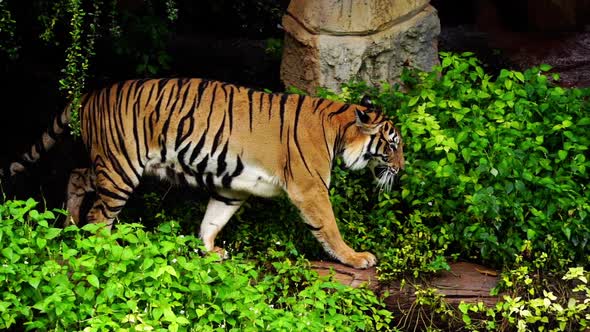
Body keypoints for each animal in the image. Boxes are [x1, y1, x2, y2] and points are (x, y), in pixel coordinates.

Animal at [1, 78, 408, 270]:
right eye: (392, 145)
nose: (402, 170)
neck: (338, 127)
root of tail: (91, 94)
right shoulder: (311, 189)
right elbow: (330, 228)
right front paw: (356, 258)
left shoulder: (235, 188)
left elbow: (214, 218)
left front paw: (209, 250)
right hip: (120, 169)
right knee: (100, 218)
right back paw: (104, 249)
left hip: (107, 164)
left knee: (76, 176)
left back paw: (68, 226)